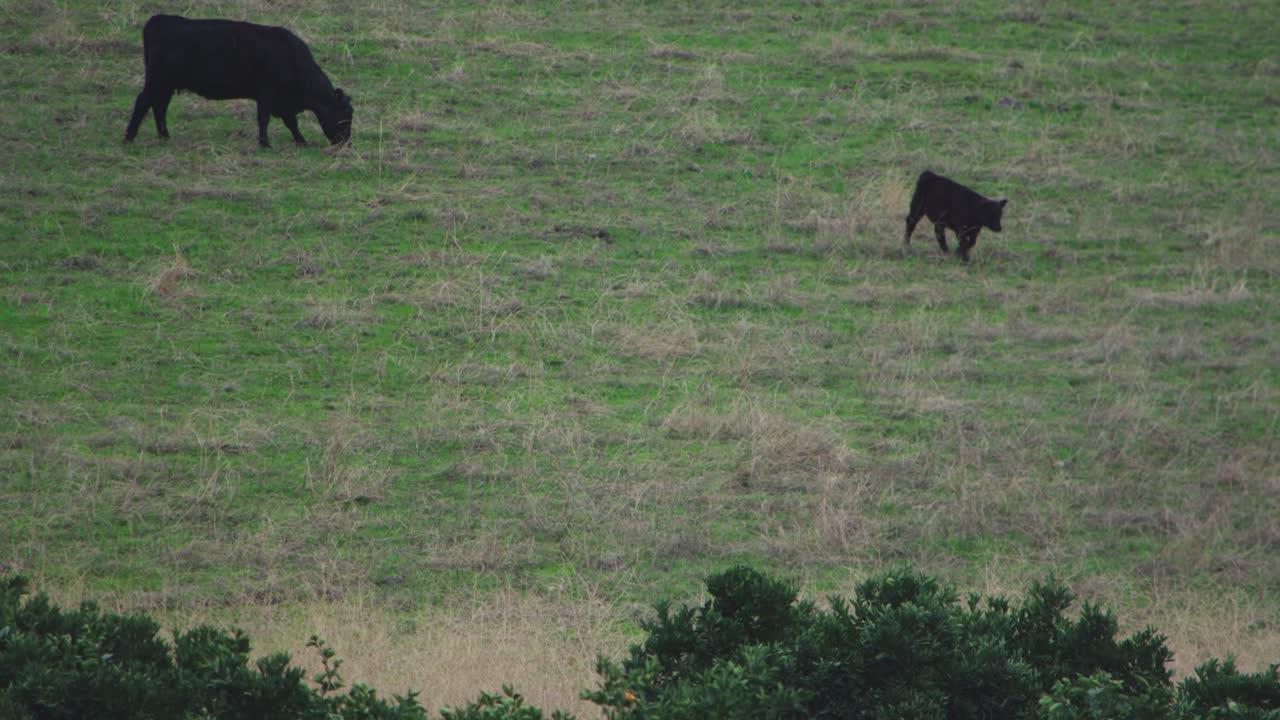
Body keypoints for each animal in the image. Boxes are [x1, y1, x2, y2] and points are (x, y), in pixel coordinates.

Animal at [124, 14, 353, 147]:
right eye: (345, 114)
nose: (345, 142)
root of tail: (158, 19)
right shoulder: (267, 94)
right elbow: (264, 119)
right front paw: (265, 144)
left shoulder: (283, 101)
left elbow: (291, 122)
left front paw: (301, 141)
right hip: (157, 80)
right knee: (143, 102)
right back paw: (129, 137)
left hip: (166, 85)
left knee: (159, 106)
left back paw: (164, 137)